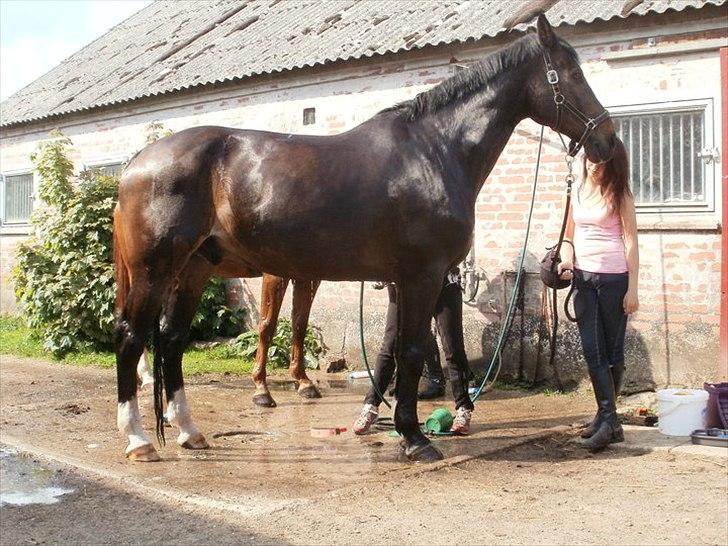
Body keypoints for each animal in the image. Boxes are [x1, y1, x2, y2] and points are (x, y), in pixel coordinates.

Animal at [112, 13, 616, 460]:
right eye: (572, 73)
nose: (606, 140)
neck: (434, 152)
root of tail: (136, 163)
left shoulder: (409, 280)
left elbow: (404, 351)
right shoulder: (422, 276)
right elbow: (410, 352)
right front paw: (414, 438)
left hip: (194, 270)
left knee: (171, 341)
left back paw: (189, 432)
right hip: (156, 271)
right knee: (131, 337)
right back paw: (137, 440)